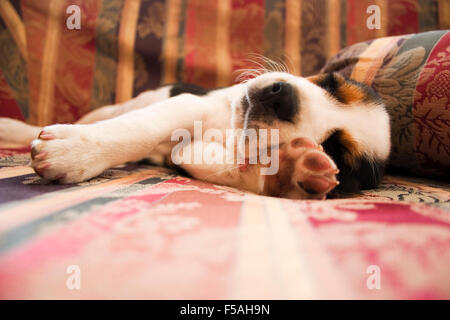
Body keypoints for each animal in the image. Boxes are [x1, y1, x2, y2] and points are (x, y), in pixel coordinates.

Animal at [0, 71, 390, 199]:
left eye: (334, 148)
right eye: (330, 83)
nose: (282, 97)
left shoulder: (190, 154)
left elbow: (239, 168)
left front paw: (294, 167)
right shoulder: (187, 104)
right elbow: (141, 127)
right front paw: (75, 151)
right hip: (116, 106)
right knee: (106, 115)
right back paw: (13, 128)